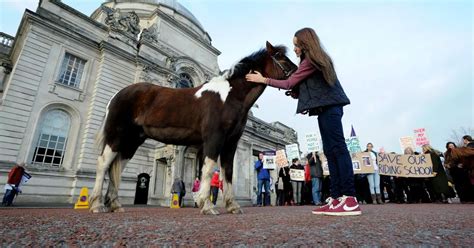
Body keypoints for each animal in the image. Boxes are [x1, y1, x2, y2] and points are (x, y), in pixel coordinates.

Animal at [89, 41, 296, 214]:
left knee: (116, 167)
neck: (228, 96)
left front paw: (232, 206)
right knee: (103, 163)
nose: (297, 73)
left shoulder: (232, 143)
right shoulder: (214, 138)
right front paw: (207, 205)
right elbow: (208, 169)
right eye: (280, 56)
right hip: (116, 136)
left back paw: (115, 205)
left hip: (131, 142)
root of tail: (117, 95)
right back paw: (97, 204)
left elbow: (227, 172)